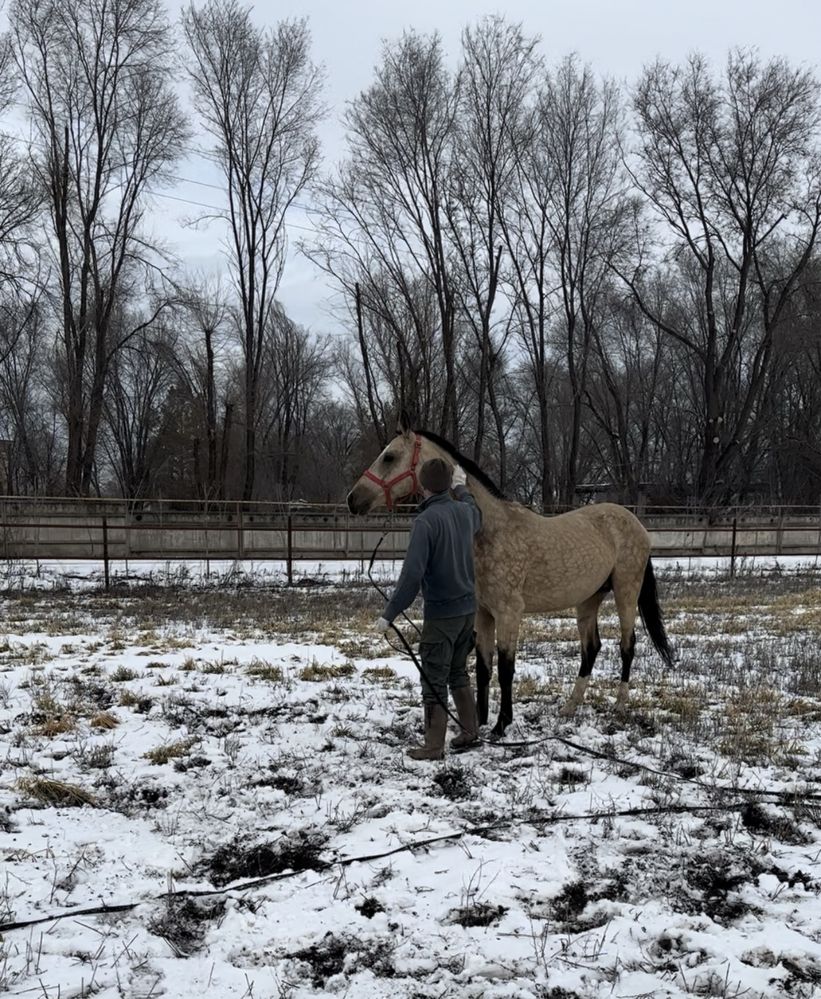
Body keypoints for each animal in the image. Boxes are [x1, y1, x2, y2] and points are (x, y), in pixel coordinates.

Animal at [346, 418, 672, 740]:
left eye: (389, 457)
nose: (353, 500)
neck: (488, 529)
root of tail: (635, 522)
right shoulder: (484, 613)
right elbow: (483, 668)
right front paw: (479, 720)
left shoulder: (508, 613)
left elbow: (505, 669)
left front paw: (502, 725)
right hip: (588, 599)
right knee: (591, 648)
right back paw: (570, 707)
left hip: (626, 591)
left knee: (627, 645)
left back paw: (619, 705)